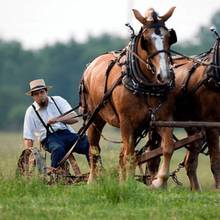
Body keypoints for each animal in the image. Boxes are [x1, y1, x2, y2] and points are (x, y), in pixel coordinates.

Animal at [79, 6, 177, 187]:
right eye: (146, 40)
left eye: (169, 37)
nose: (164, 76)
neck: (147, 86)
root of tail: (91, 65)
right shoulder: (126, 123)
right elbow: (130, 156)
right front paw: (130, 184)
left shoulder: (163, 119)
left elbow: (168, 147)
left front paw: (160, 181)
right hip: (94, 117)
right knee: (94, 149)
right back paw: (92, 181)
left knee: (120, 154)